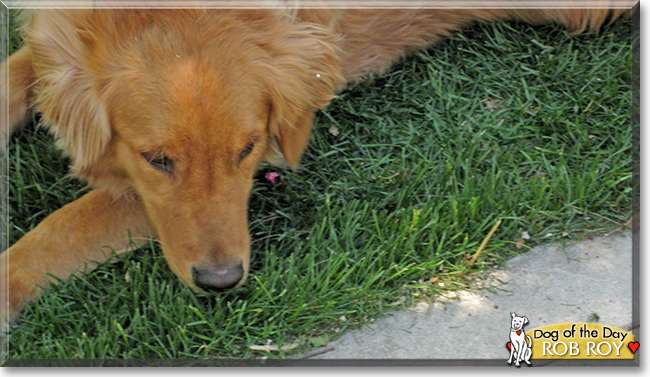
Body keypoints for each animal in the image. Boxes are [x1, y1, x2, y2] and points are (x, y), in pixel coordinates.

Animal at [0, 3, 628, 328]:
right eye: (158, 159)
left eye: (247, 150)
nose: (222, 282)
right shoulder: (55, 45)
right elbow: (15, 75)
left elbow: (62, 228)